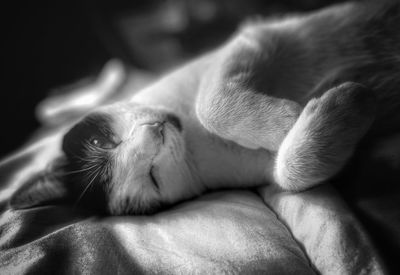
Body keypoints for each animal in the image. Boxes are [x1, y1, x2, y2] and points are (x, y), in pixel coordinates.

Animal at [8, 0, 400, 216]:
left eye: (99, 142)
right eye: (151, 176)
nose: (155, 132)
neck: (194, 141)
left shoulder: (255, 37)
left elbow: (210, 108)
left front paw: (290, 117)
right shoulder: (268, 176)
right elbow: (292, 172)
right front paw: (339, 104)